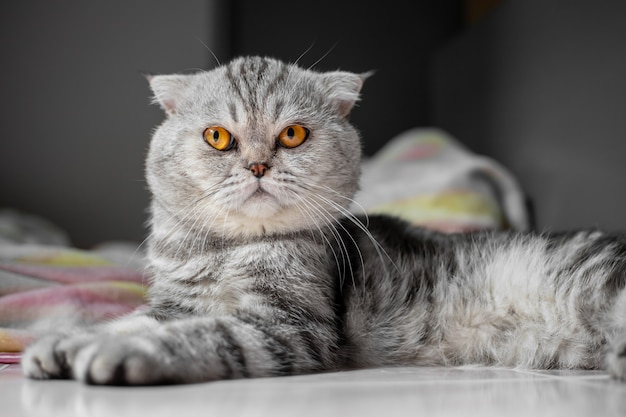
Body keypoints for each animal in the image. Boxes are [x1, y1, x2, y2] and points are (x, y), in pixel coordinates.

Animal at [22, 55, 624, 384]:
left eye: (292, 134)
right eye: (217, 136)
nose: (257, 165)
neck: (227, 250)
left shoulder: (288, 324)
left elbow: (201, 335)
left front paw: (115, 353)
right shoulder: (175, 303)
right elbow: (131, 319)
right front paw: (62, 345)